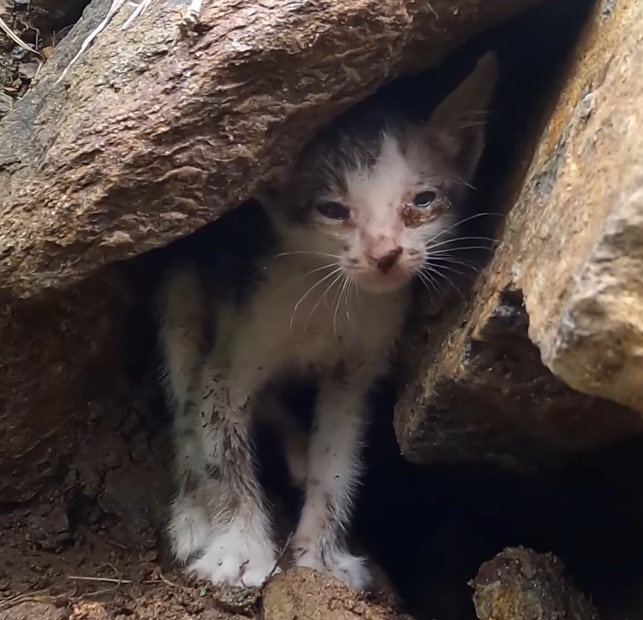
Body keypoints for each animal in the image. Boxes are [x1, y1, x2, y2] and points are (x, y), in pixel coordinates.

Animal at [158, 52, 500, 592]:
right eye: (334, 210)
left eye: (422, 201)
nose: (386, 255)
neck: (331, 300)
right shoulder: (233, 351)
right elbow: (221, 451)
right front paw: (239, 549)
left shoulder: (355, 372)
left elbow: (337, 465)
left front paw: (319, 556)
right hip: (183, 291)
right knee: (182, 403)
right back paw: (191, 513)